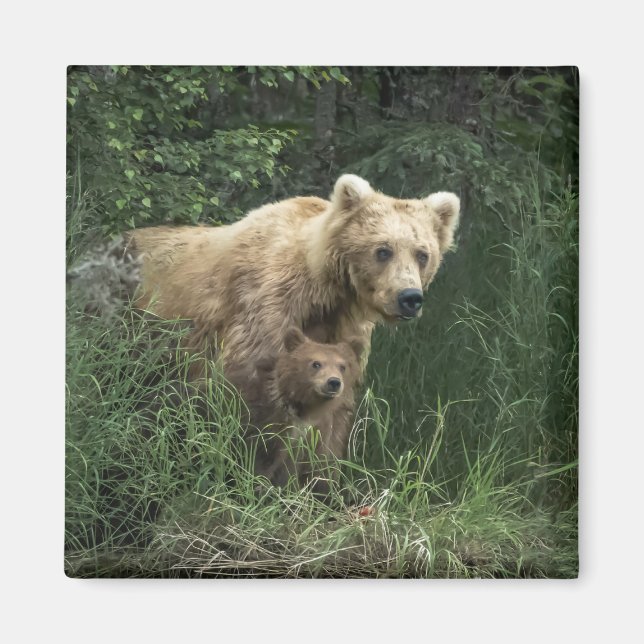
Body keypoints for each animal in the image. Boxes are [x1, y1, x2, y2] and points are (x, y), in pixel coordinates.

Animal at [126, 174, 460, 380]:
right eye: (383, 250)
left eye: (422, 254)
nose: (409, 298)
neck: (325, 290)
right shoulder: (266, 309)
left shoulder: (340, 327)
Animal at [226, 327, 365, 495]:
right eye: (316, 363)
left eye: (342, 366)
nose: (334, 382)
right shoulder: (266, 422)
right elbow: (260, 459)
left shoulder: (318, 432)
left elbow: (311, 467)